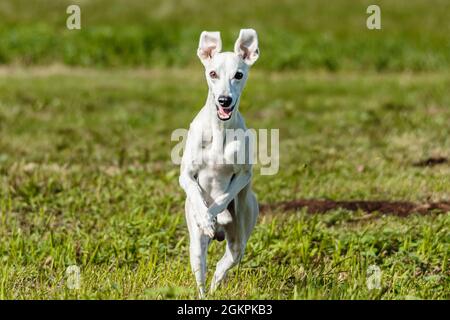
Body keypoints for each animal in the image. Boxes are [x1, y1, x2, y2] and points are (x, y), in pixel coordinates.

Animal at [178, 29, 258, 298]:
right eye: (213, 73)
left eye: (238, 75)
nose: (224, 100)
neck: (219, 130)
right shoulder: (185, 174)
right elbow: (194, 188)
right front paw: (205, 218)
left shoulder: (244, 174)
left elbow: (223, 197)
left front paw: (214, 215)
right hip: (196, 249)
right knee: (201, 273)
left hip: (238, 243)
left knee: (222, 269)